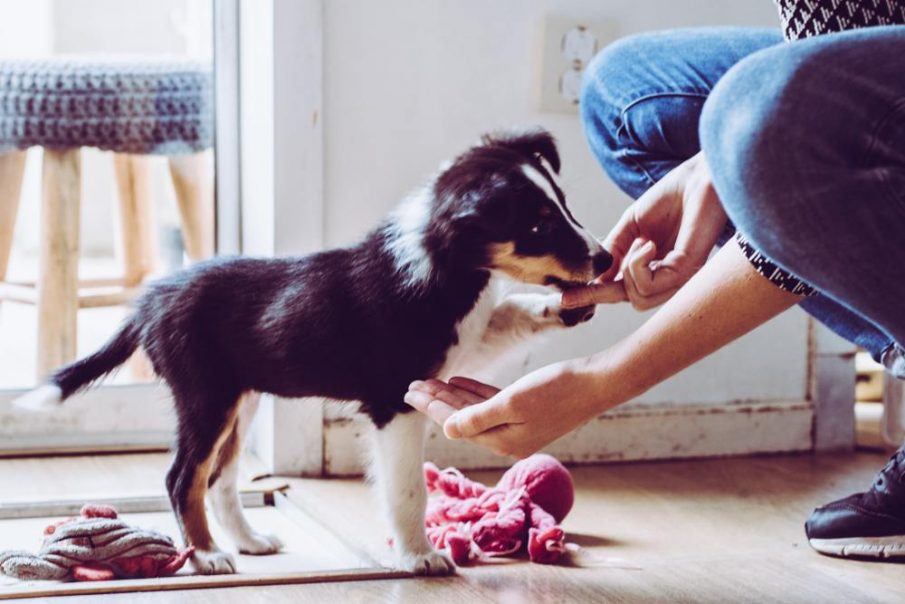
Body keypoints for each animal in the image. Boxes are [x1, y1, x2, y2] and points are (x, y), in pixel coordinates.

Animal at [17, 129, 616, 576]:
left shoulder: (458, 344)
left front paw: (562, 307)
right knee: (182, 478)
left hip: (240, 400)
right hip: (206, 397)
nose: (606, 259)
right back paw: (207, 555)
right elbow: (406, 491)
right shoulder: (396, 403)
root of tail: (149, 302)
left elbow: (508, 313)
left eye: (564, 206)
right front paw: (420, 557)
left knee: (220, 478)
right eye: (537, 225)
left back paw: (248, 541)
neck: (442, 264)